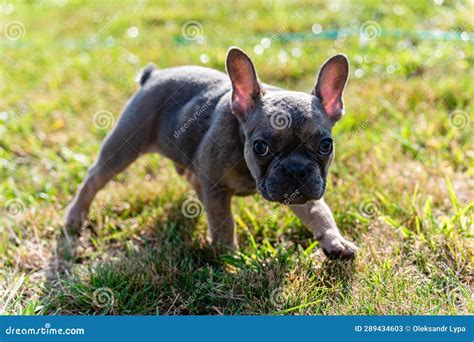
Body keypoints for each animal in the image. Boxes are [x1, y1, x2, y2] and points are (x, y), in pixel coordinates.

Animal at [65, 46, 358, 260]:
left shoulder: (303, 189)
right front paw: (231, 259)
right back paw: (74, 218)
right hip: (124, 145)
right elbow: (224, 224)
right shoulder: (217, 189)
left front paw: (335, 241)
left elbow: (319, 211)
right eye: (260, 147)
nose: (295, 169)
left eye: (326, 145)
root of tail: (152, 76)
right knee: (94, 179)